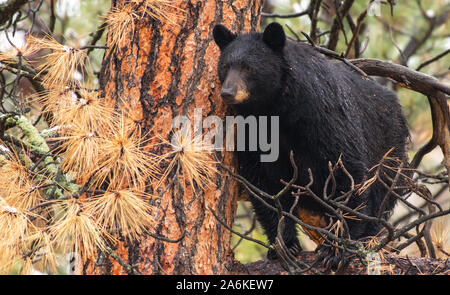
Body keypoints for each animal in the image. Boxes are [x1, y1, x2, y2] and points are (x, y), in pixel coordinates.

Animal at [213, 23, 410, 268]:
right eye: (225, 66)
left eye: (249, 68)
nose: (227, 93)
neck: (276, 109)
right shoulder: (252, 130)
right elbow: (263, 185)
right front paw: (285, 245)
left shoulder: (323, 114)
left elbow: (347, 170)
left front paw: (335, 248)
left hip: (389, 151)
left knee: (381, 194)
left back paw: (368, 239)